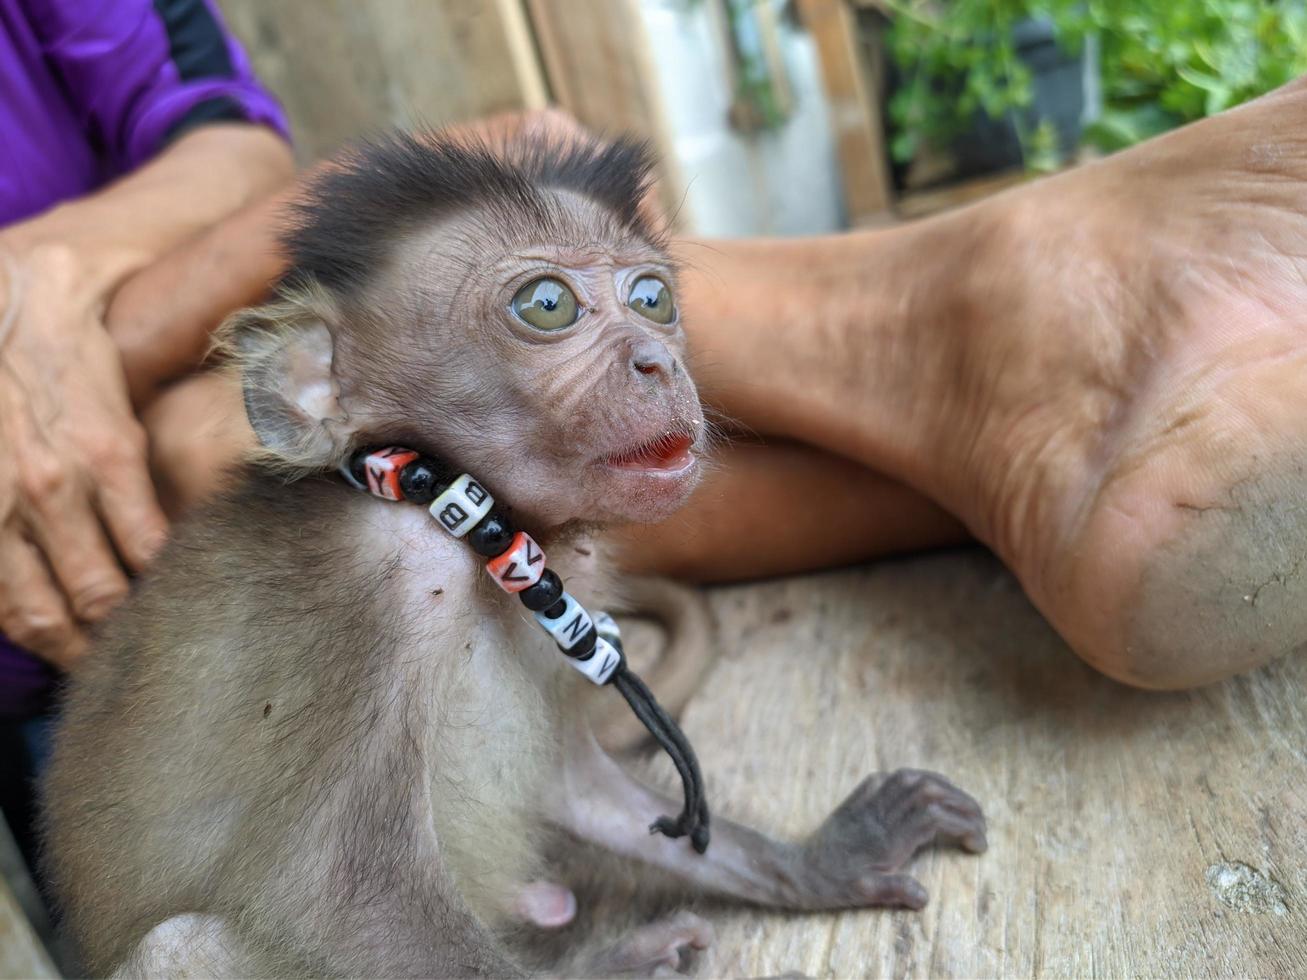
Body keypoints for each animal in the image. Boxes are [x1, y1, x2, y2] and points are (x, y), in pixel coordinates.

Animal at [40, 132, 982, 980]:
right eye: (547, 306)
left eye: (651, 297)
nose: (659, 360)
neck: (450, 522)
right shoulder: (368, 586)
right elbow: (334, 894)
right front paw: (613, 968)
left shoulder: (551, 593)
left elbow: (579, 785)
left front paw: (824, 861)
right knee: (182, 947)